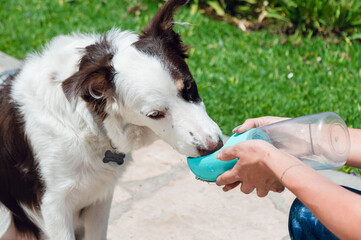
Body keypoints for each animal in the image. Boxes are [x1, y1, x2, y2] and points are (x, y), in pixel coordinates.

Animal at [0, 0, 222, 239]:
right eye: (154, 115)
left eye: (189, 87)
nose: (214, 146)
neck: (89, 124)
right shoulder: (54, 205)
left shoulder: (100, 196)